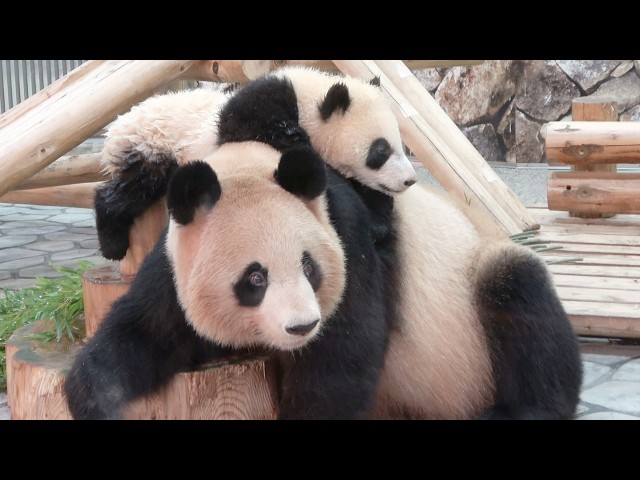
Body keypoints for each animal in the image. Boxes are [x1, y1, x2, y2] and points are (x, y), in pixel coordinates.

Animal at [64, 141, 391, 420]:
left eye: (308, 267)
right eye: (256, 278)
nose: (302, 326)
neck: (244, 166)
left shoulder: (347, 237)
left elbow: (341, 354)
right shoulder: (175, 269)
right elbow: (140, 335)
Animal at [94, 65, 417, 260]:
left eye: (402, 145)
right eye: (380, 151)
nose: (409, 180)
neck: (308, 99)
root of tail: (118, 124)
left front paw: (377, 223)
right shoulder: (254, 107)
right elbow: (258, 129)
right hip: (151, 147)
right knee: (129, 190)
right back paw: (112, 242)